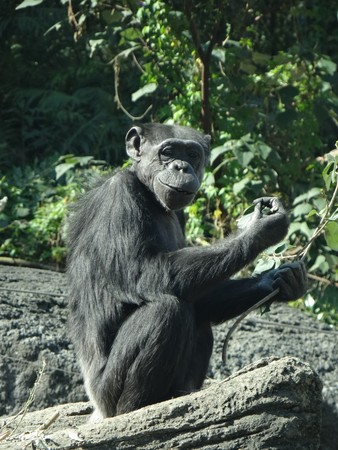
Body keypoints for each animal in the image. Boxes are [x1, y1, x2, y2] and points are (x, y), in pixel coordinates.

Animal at [67, 122, 308, 418]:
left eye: (192, 155)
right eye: (168, 152)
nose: (181, 167)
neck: (148, 192)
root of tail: (97, 409)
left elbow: (201, 293)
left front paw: (280, 281)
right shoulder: (118, 196)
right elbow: (142, 272)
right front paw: (257, 229)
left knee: (200, 317)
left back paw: (183, 394)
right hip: (106, 393)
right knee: (165, 310)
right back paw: (135, 408)